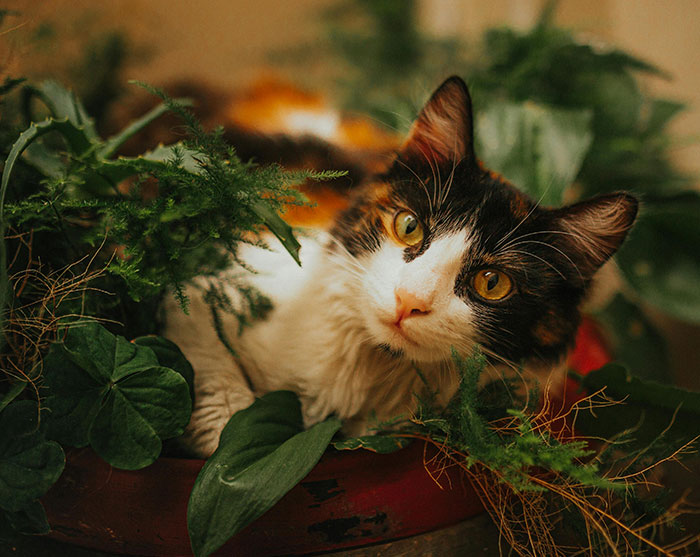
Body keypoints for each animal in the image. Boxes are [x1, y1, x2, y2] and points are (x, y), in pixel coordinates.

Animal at [161, 76, 636, 458]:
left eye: (492, 283)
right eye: (409, 226)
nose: (409, 300)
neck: (372, 367)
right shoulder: (207, 285)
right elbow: (208, 359)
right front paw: (226, 431)